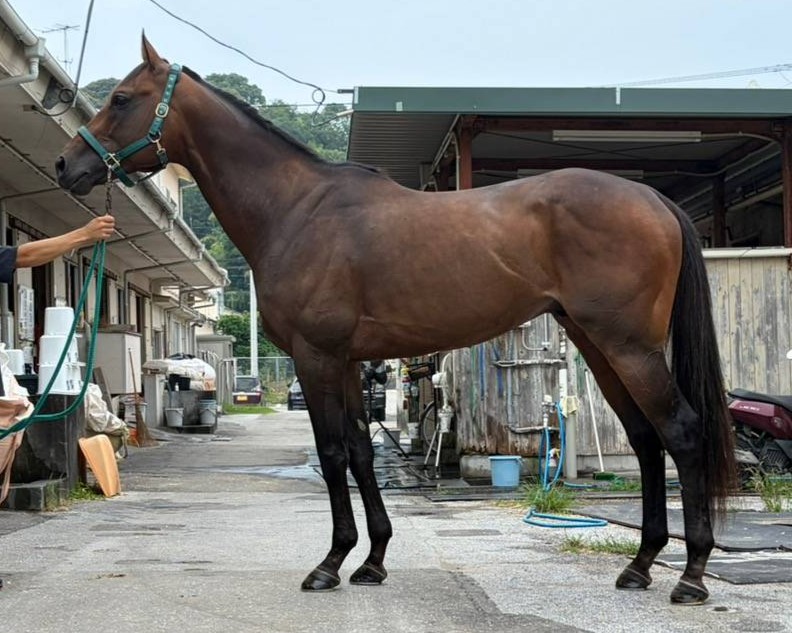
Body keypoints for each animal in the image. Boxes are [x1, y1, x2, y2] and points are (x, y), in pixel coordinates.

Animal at [56, 36, 736, 605]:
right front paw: (373, 559)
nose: (67, 166)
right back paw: (641, 566)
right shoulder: (347, 361)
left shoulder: (317, 356)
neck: (297, 209)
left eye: (121, 99)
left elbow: (333, 452)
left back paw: (692, 576)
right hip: (599, 344)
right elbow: (360, 451)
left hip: (628, 346)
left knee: (681, 431)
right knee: (646, 439)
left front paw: (330, 564)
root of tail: (652, 198)